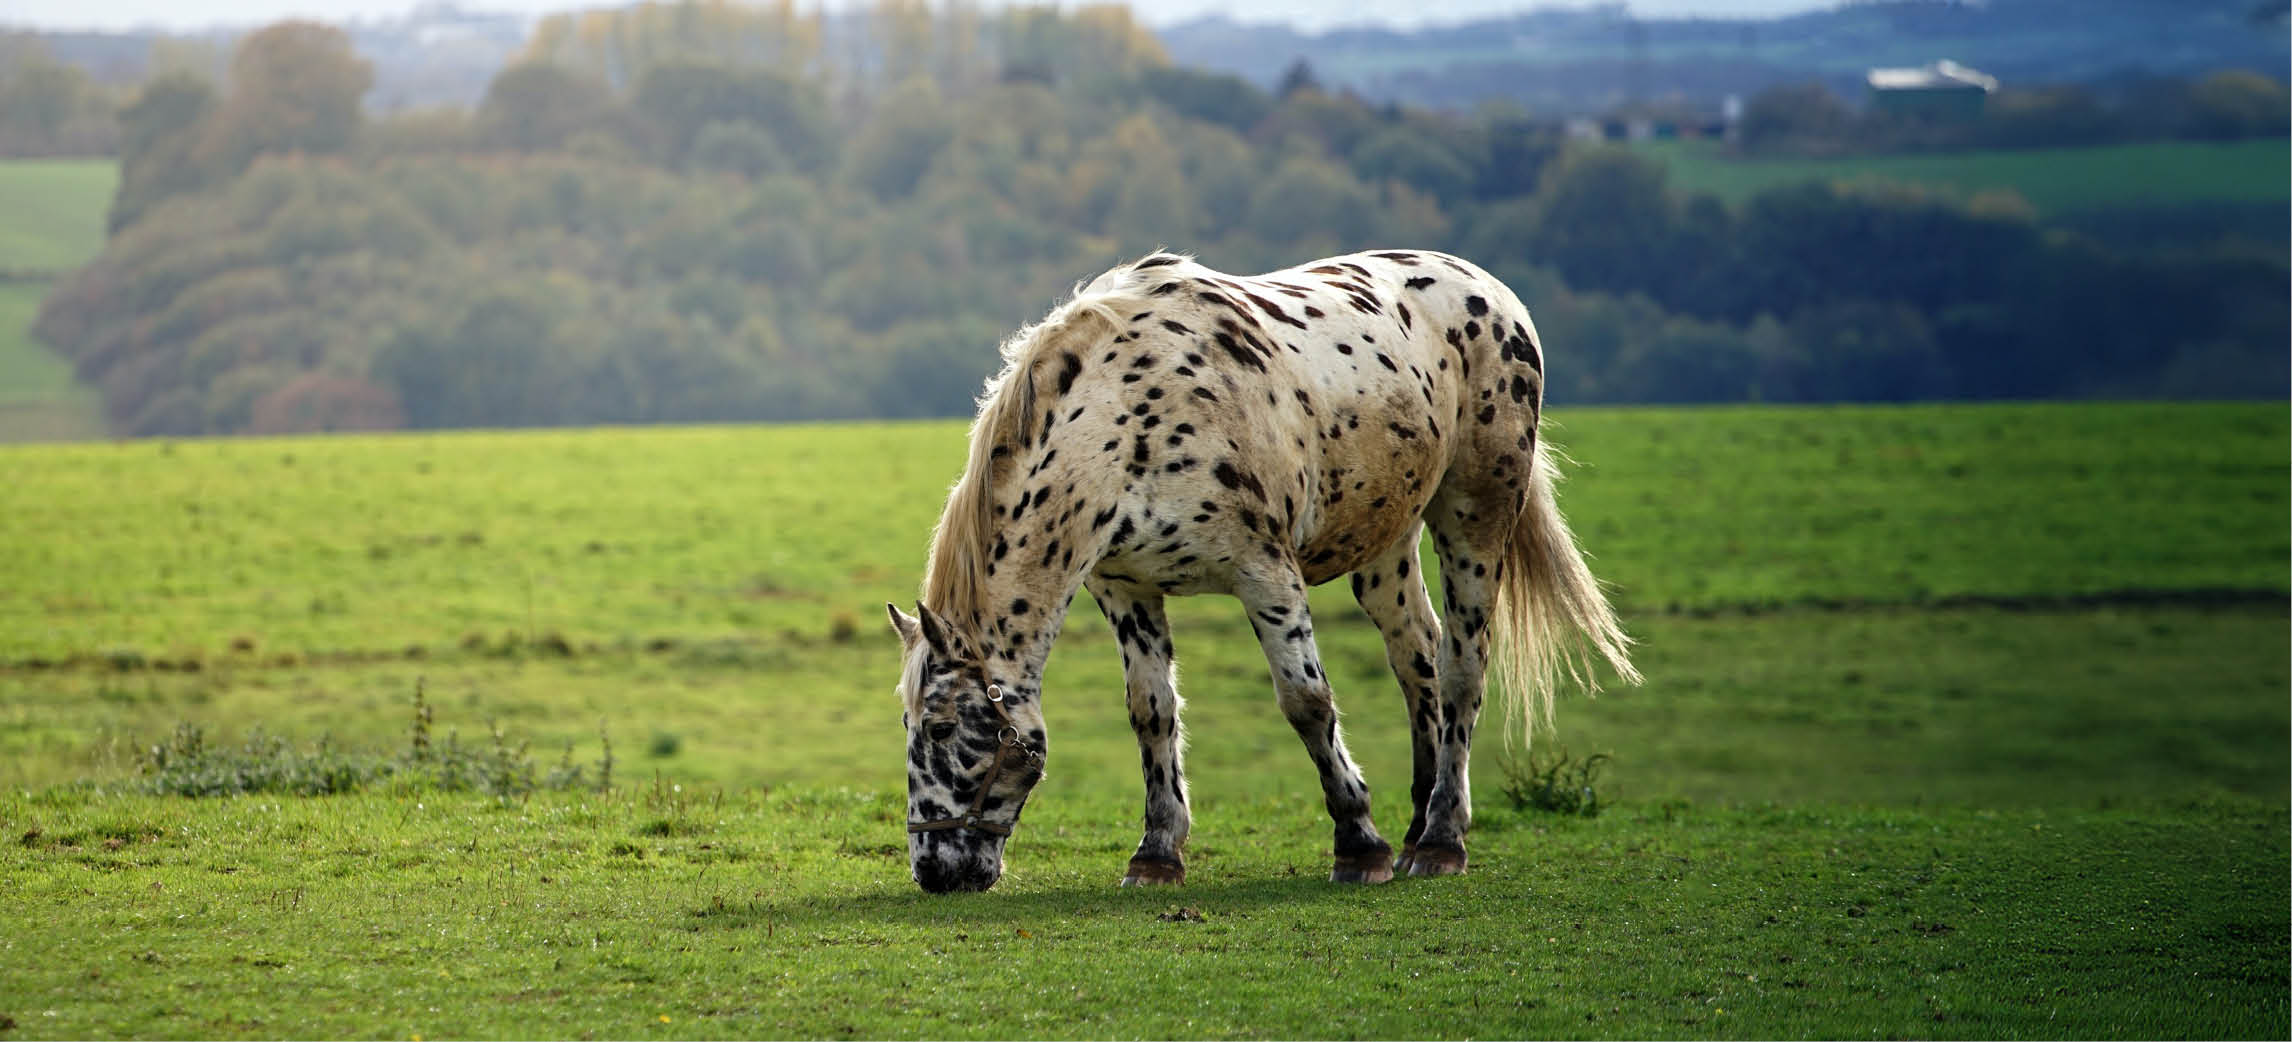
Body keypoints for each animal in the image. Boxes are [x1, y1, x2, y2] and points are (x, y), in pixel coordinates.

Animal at [886, 249, 1639, 893]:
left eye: (941, 729)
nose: (933, 871)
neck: (1127, 420)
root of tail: (1495, 294)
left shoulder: (1265, 574)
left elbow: (1307, 702)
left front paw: (1358, 844)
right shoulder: (1126, 588)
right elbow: (1151, 712)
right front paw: (1157, 855)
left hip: (1473, 514)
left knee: (1462, 668)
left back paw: (1440, 839)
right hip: (1386, 542)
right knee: (1417, 657)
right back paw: (1417, 822)